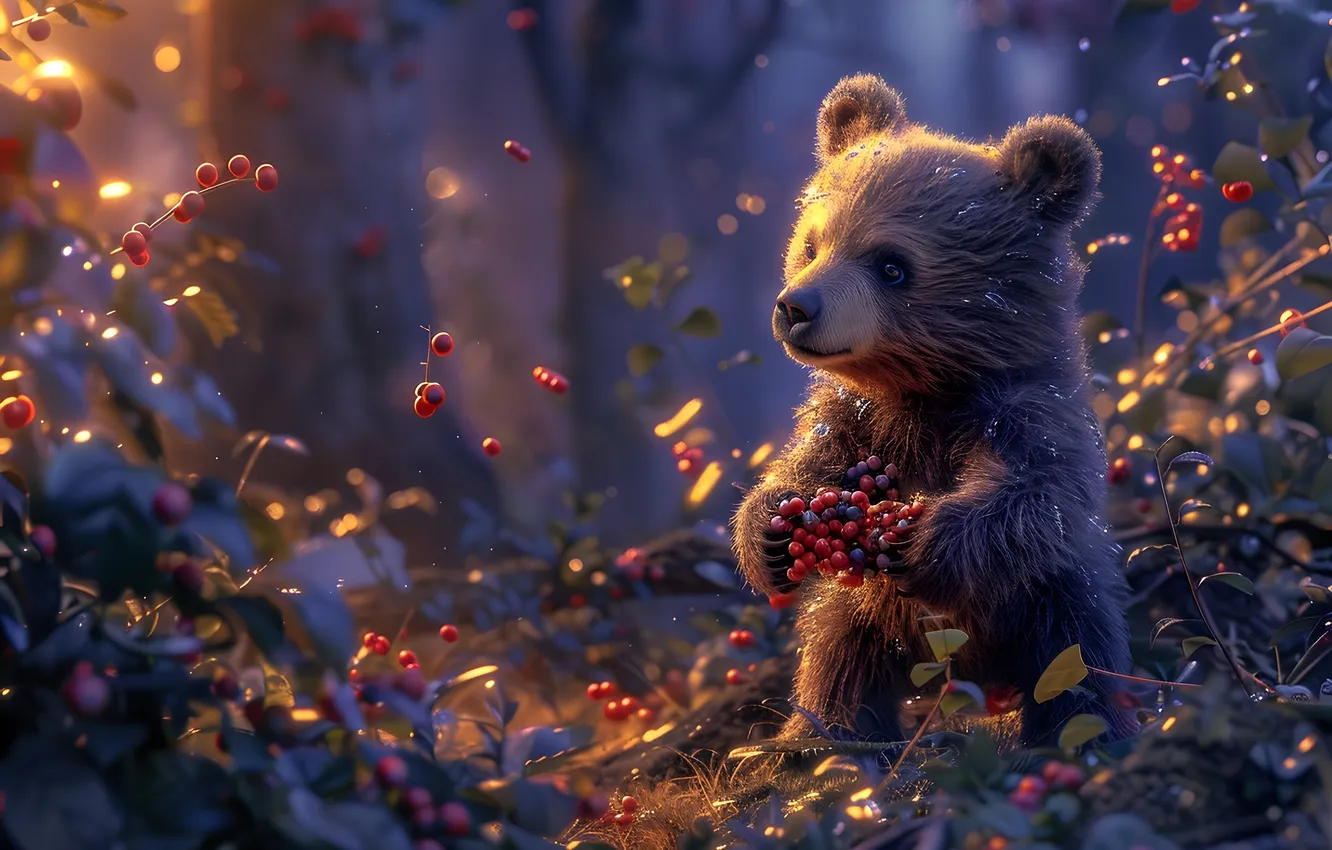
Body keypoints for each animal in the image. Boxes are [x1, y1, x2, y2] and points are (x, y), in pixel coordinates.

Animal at [730, 74, 1139, 749]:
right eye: (811, 243)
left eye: (892, 265)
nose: (796, 308)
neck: (924, 388)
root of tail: (976, 678)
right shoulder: (857, 418)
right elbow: (807, 462)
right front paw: (767, 532)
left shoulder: (1022, 410)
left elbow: (1036, 487)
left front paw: (919, 540)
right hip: (870, 614)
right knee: (839, 661)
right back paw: (812, 739)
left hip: (1050, 598)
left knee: (1078, 669)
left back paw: (1085, 735)